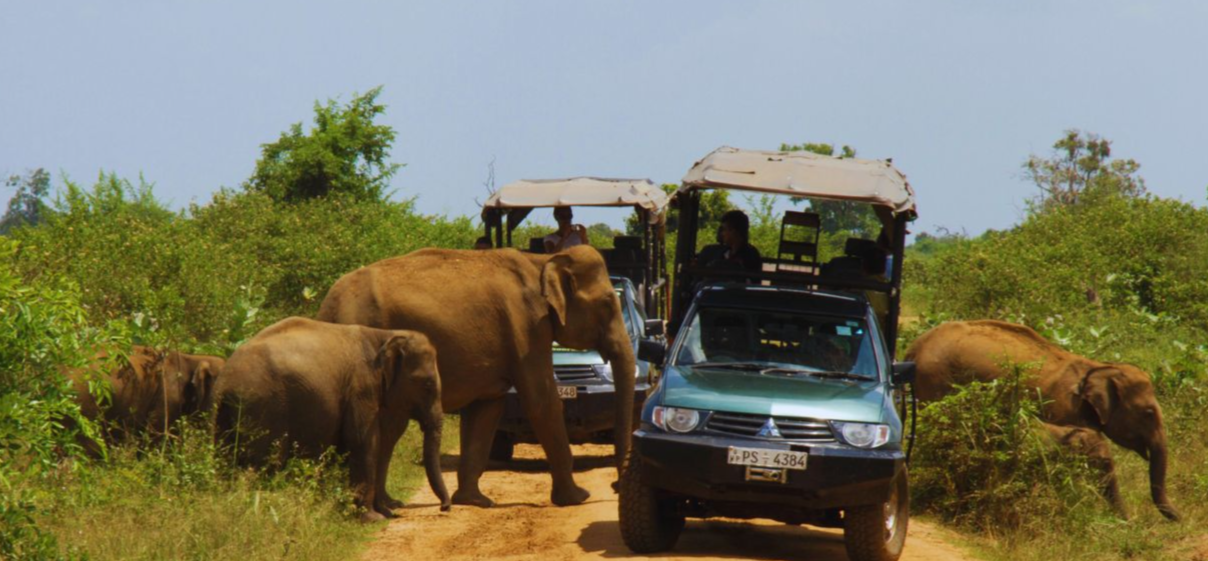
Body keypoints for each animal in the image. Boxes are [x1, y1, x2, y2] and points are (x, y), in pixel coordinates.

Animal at [211, 316, 449, 519]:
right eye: (427, 384)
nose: (444, 508)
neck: (384, 336)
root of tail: (224, 383)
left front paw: (383, 512)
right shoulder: (361, 387)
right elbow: (362, 440)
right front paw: (374, 518)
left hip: (224, 414)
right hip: (265, 407)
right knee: (267, 462)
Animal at [318, 245, 642, 507]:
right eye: (607, 304)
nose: (615, 486)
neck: (543, 261)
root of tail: (327, 307)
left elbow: (487, 409)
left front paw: (474, 501)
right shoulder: (527, 327)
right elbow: (542, 401)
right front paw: (577, 499)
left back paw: (387, 504)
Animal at [908, 319, 1179, 522]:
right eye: (1148, 413)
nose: (1180, 518)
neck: (1097, 367)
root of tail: (915, 345)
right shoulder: (1064, 408)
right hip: (935, 381)